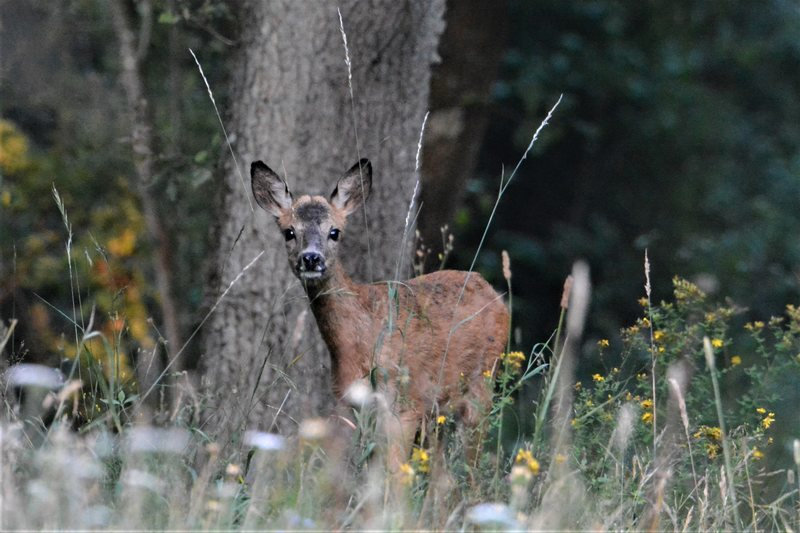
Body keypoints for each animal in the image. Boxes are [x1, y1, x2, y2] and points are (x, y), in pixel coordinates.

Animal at [253, 158, 510, 470]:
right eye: (289, 232)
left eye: (334, 232)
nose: (311, 258)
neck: (360, 341)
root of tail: (493, 293)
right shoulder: (348, 401)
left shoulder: (404, 404)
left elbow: (393, 472)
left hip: (482, 382)